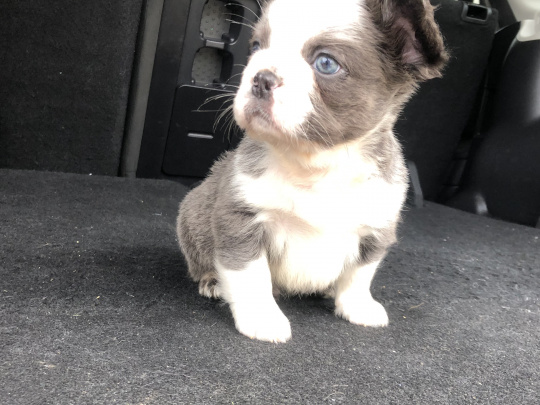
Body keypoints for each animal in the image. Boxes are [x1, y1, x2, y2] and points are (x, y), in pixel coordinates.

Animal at [177, 0, 448, 340]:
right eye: (256, 47)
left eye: (326, 64)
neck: (316, 165)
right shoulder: (240, 220)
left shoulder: (376, 228)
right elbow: (251, 275)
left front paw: (357, 306)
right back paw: (212, 280)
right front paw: (262, 317)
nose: (261, 77)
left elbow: (359, 275)